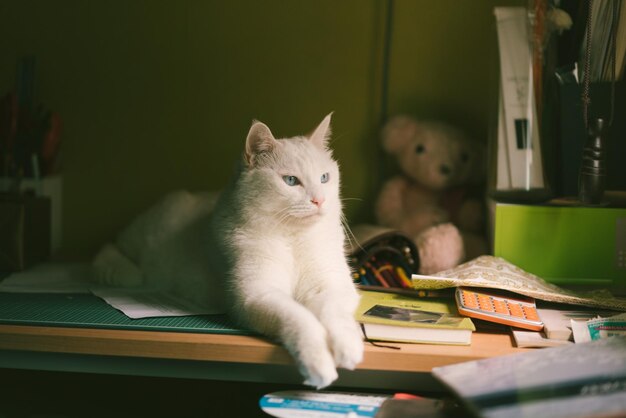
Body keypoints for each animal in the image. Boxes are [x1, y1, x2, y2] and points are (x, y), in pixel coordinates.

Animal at [94, 112, 364, 386]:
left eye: (324, 178)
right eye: (291, 181)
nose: (320, 200)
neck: (293, 238)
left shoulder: (332, 285)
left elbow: (334, 314)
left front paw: (348, 347)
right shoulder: (258, 295)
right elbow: (301, 318)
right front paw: (318, 363)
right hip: (142, 237)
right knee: (108, 250)